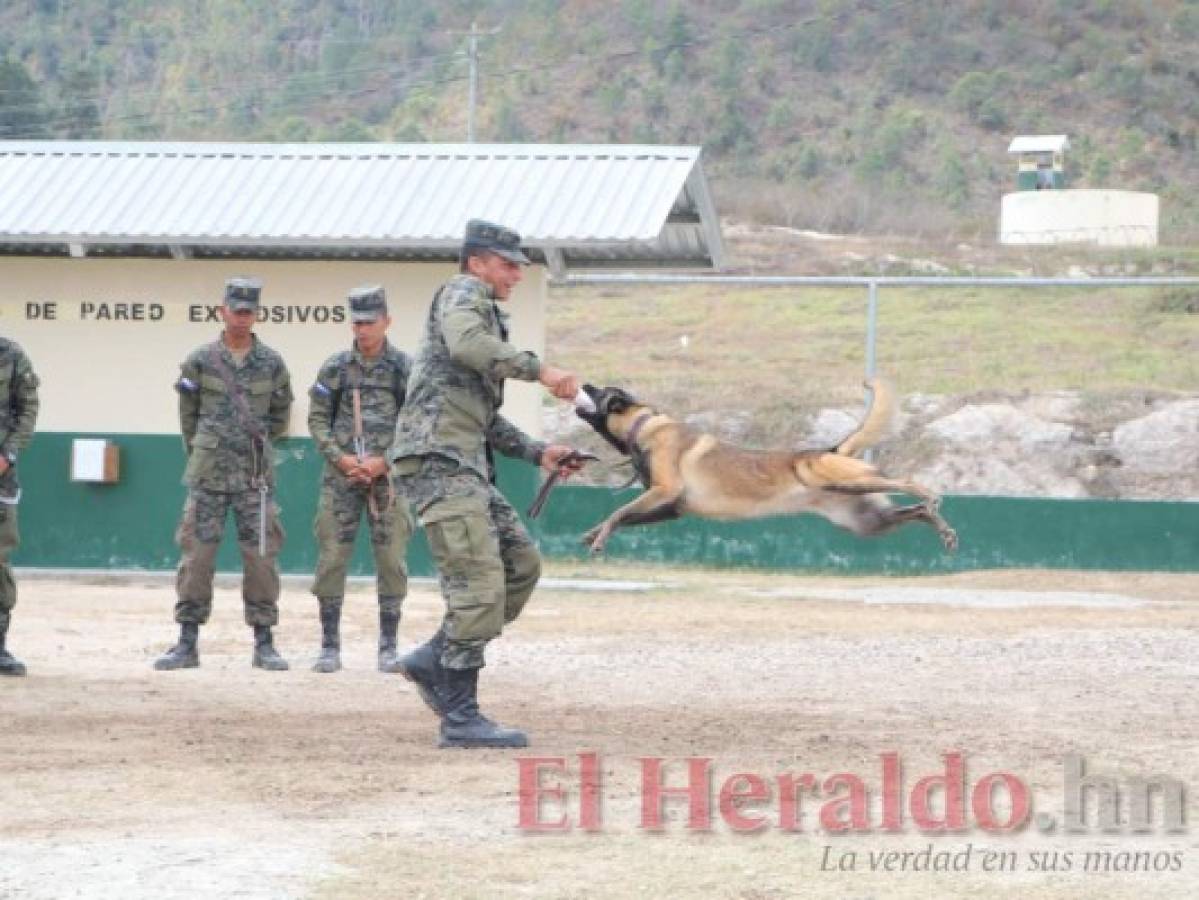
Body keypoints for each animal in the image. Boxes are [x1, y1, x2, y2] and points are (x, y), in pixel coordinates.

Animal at [575, 381, 959, 556]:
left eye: (600, 391)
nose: (583, 384)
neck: (643, 427)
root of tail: (832, 448)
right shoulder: (670, 508)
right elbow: (622, 516)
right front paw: (594, 534)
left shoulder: (665, 491)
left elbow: (618, 512)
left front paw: (599, 539)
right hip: (863, 517)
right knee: (913, 512)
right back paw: (942, 529)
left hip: (843, 478)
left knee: (905, 482)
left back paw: (929, 496)